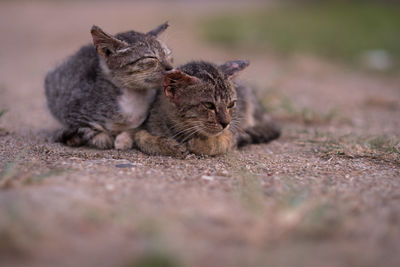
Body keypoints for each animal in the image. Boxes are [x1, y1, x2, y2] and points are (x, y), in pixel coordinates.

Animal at [44, 22, 173, 151]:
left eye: (168, 55)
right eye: (151, 58)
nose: (171, 68)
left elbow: (136, 129)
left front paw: (124, 139)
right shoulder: (71, 112)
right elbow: (88, 130)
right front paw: (104, 138)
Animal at [133, 59, 280, 158]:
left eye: (231, 104)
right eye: (209, 105)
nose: (226, 123)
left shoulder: (233, 134)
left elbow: (220, 142)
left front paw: (196, 144)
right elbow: (140, 137)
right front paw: (169, 145)